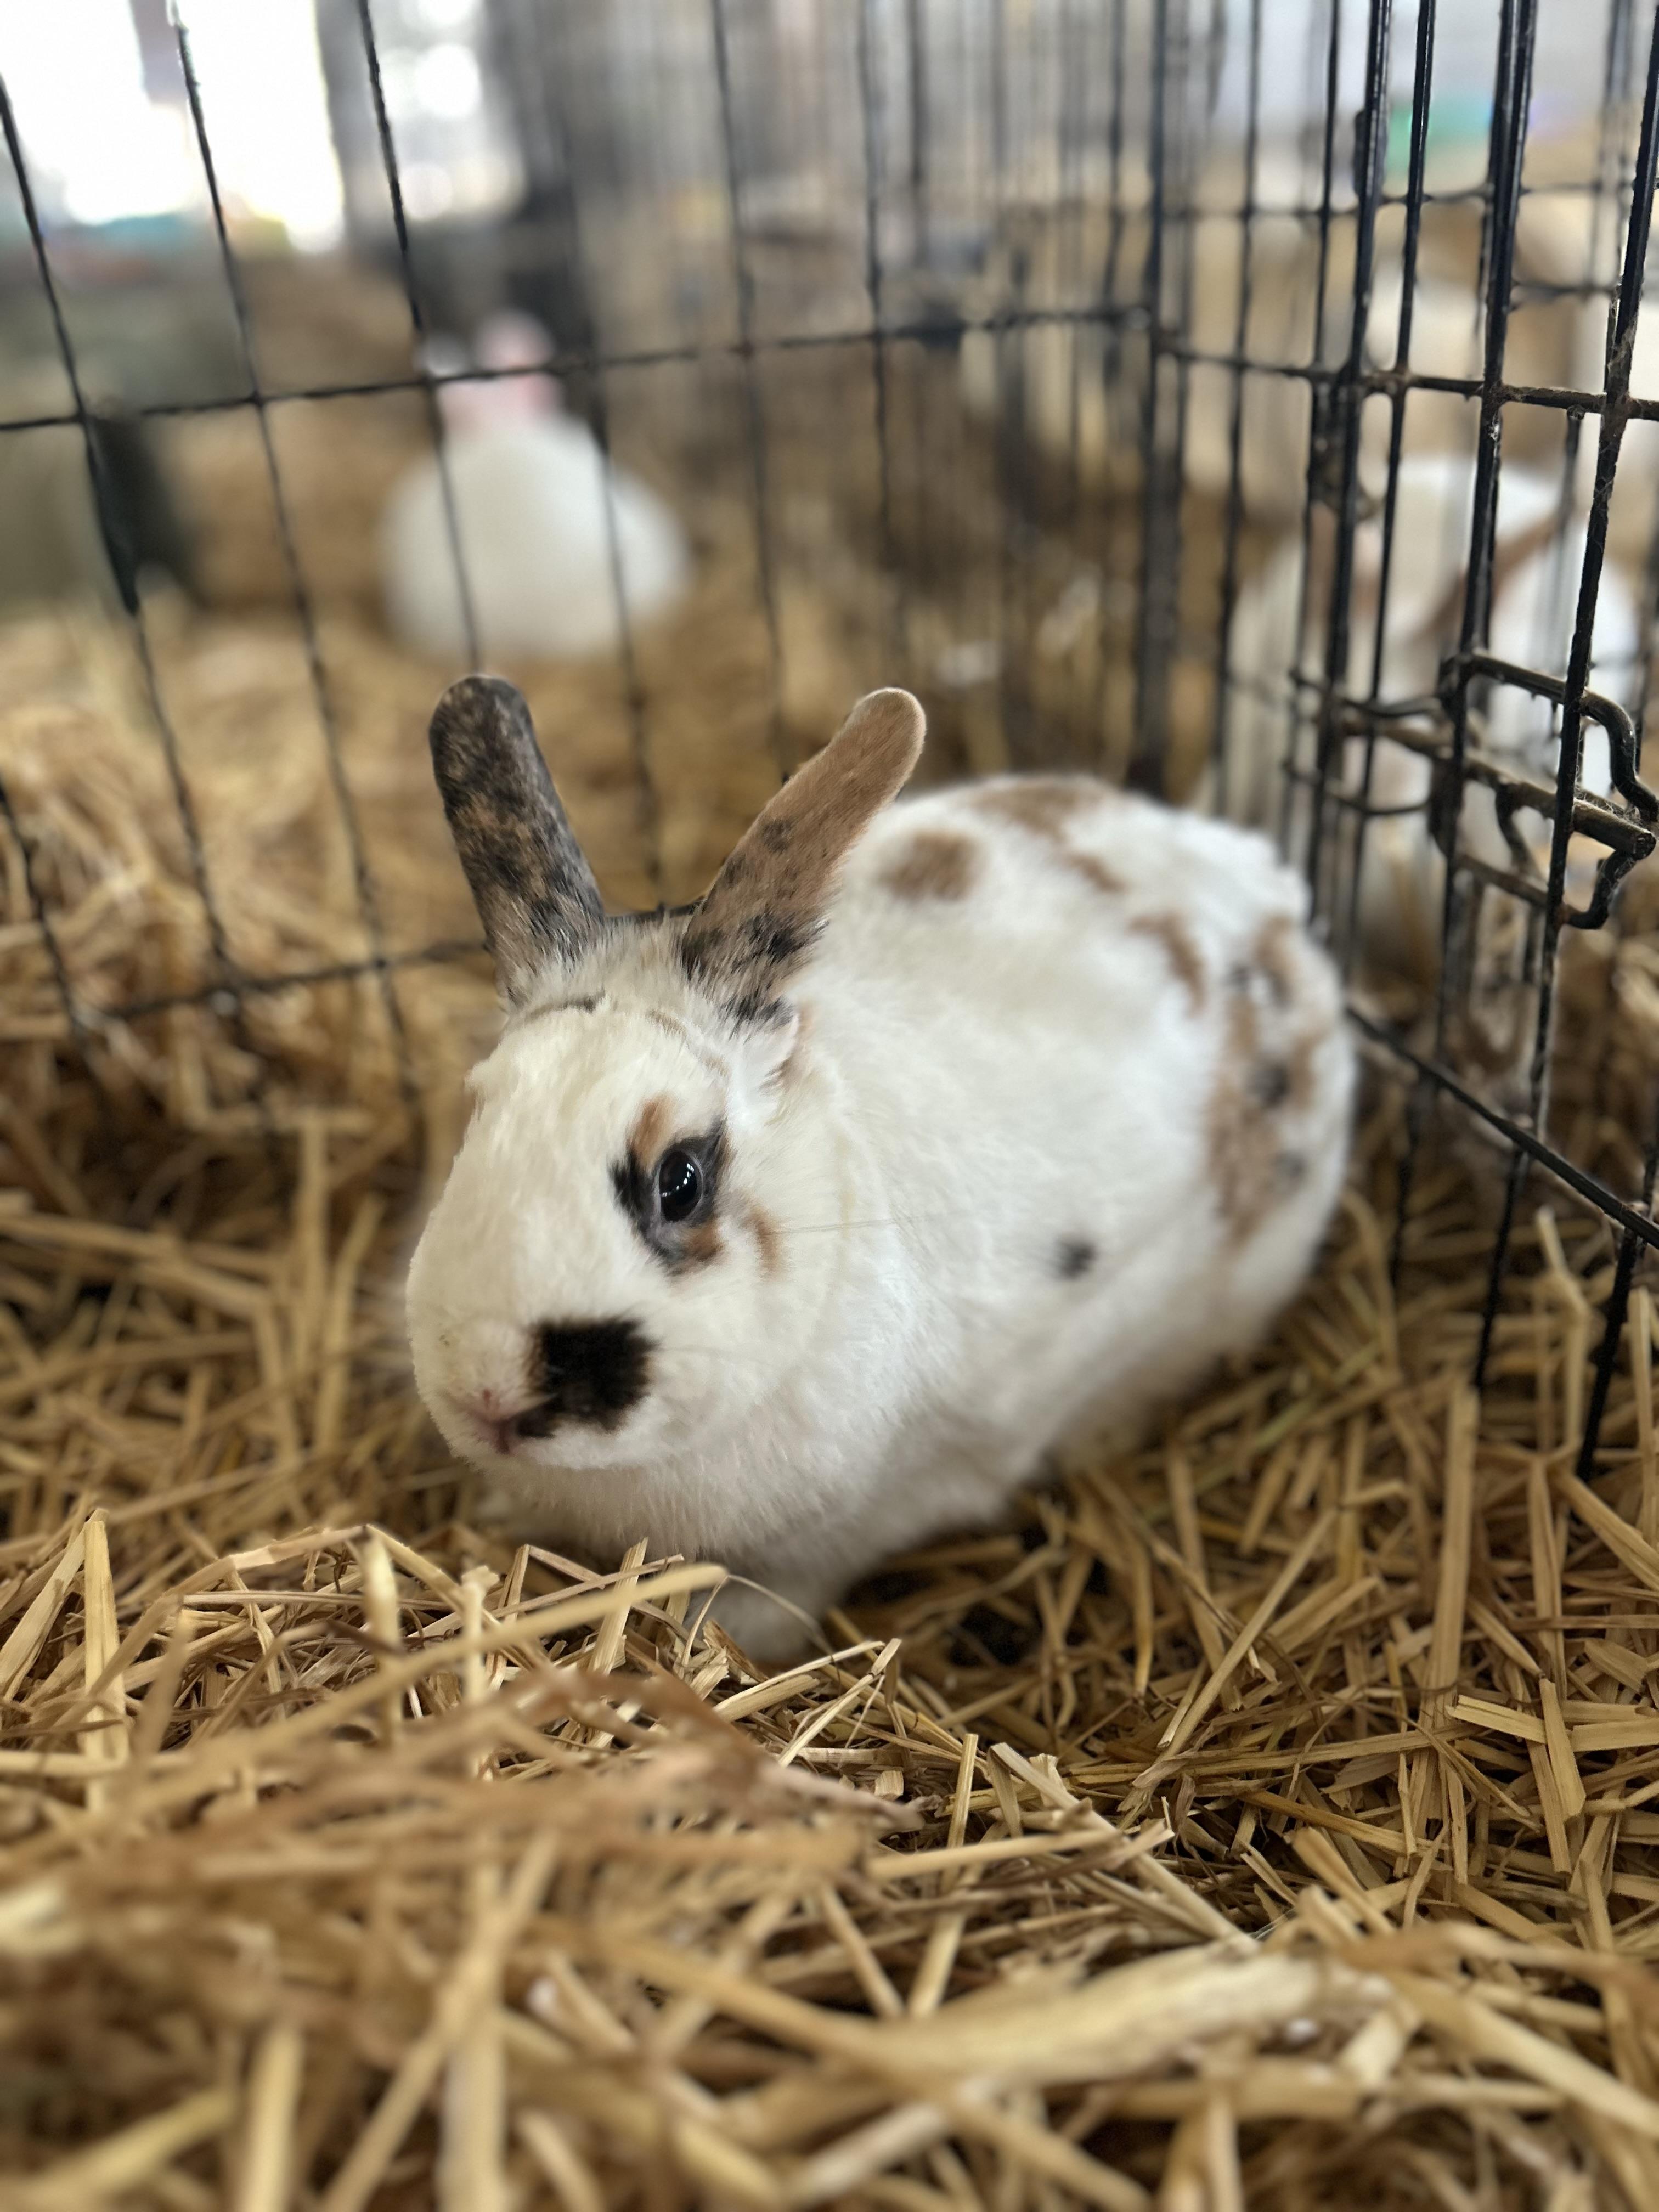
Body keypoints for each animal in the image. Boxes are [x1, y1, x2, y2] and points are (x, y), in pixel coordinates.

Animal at [404, 674, 1355, 1662]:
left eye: (681, 1180)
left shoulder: (883, 1504)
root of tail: (1262, 883)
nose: (489, 1389)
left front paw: (727, 1641)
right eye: (477, 1117)